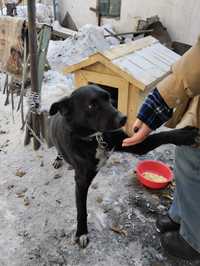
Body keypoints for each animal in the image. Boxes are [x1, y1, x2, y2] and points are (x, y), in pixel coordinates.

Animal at [49, 84, 199, 247]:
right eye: (92, 105)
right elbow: (81, 209)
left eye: (109, 98)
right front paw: (81, 232)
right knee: (59, 151)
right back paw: (58, 159)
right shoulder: (81, 181)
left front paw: (185, 134)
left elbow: (161, 136)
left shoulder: (134, 145)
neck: (95, 138)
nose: (123, 118)